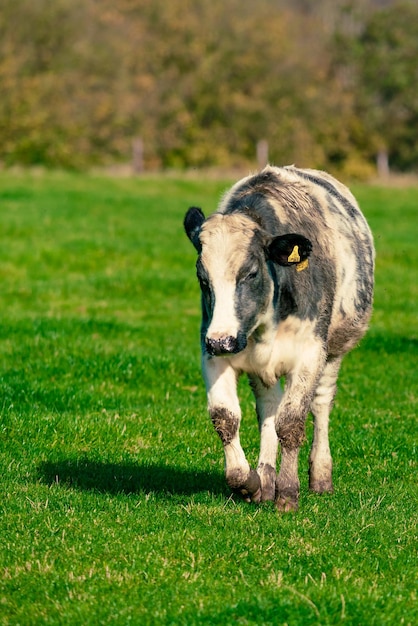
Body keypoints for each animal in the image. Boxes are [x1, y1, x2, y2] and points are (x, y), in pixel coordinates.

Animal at [185, 166, 374, 512]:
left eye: (250, 274)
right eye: (203, 280)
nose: (221, 341)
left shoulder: (310, 355)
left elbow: (291, 422)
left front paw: (288, 492)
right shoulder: (213, 355)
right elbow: (226, 417)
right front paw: (248, 481)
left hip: (335, 350)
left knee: (321, 405)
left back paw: (320, 476)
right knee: (268, 408)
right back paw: (265, 477)